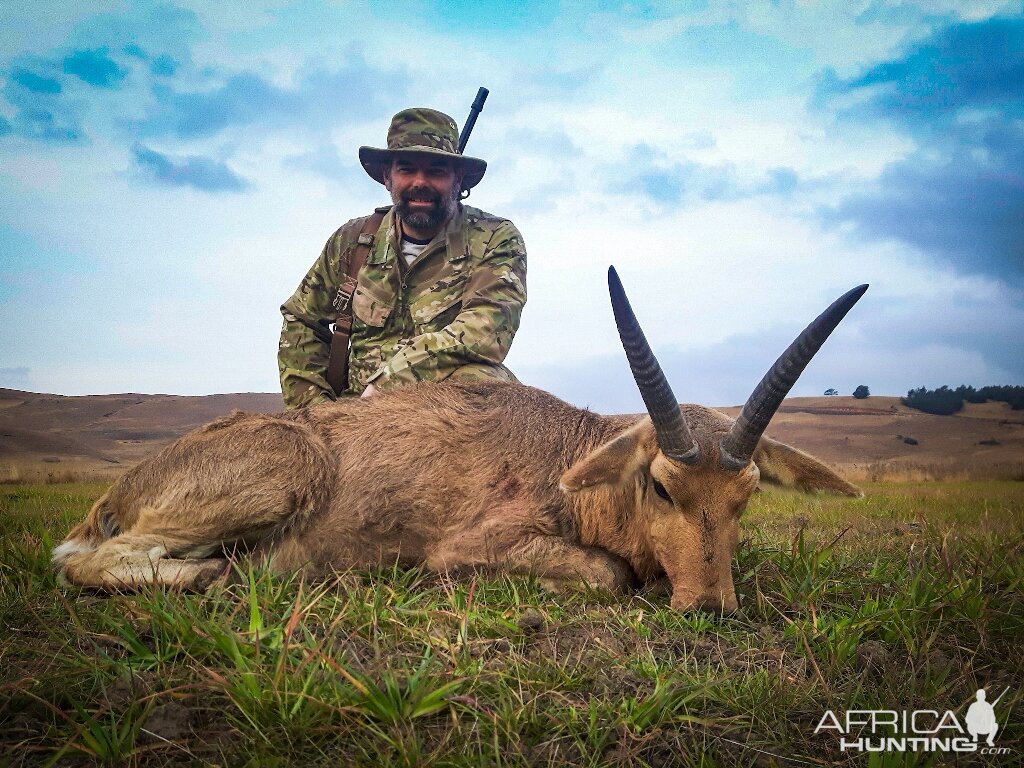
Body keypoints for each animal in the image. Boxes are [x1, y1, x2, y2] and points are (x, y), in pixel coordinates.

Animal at [49, 270, 864, 614]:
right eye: (661, 484)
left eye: (748, 495)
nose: (710, 608)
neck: (566, 459)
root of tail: (118, 492)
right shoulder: (469, 546)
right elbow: (610, 575)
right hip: (277, 478)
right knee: (84, 563)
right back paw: (222, 575)